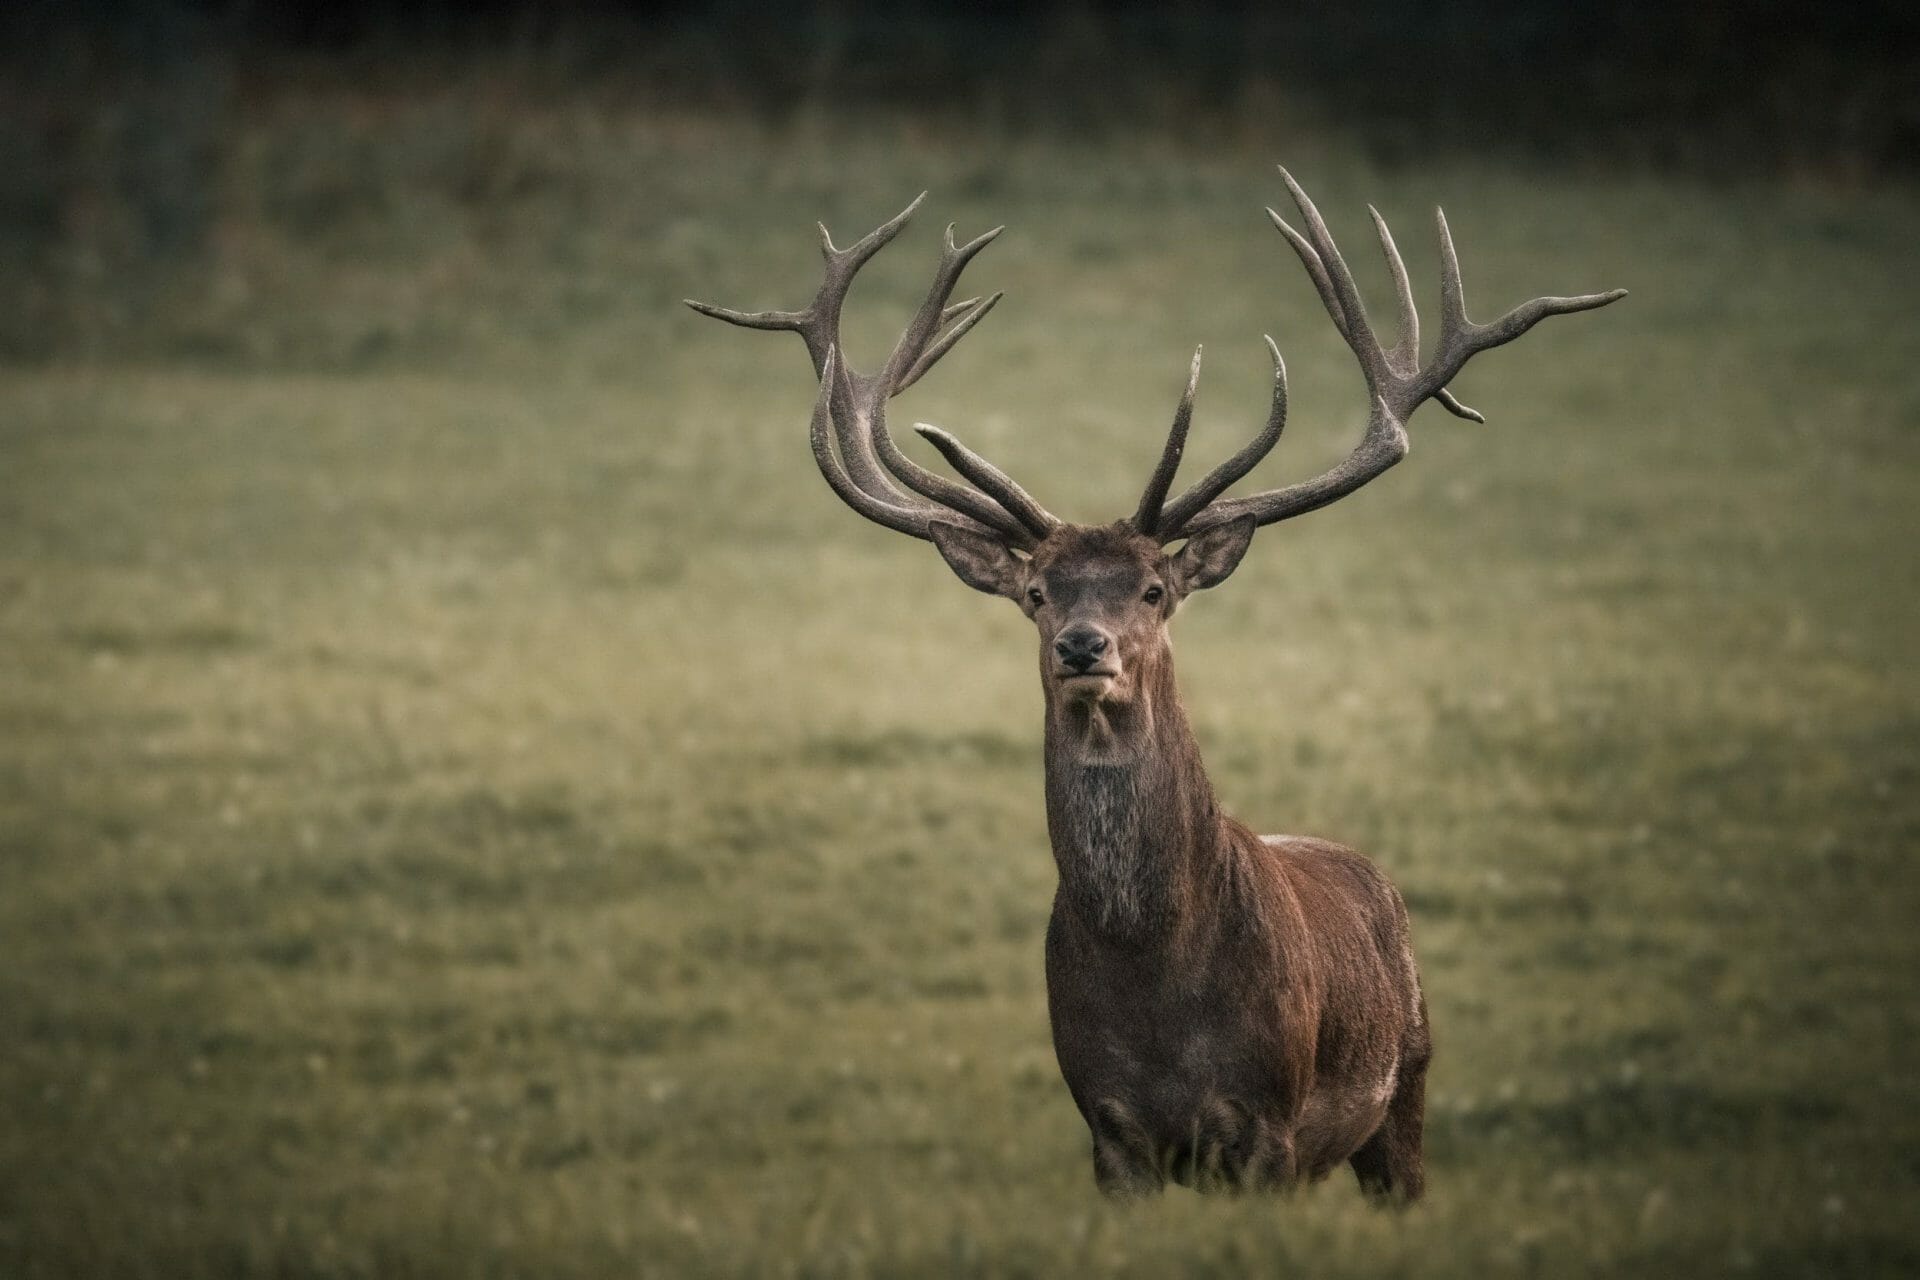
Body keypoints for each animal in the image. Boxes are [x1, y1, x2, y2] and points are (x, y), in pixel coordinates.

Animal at [687, 169, 1620, 1205]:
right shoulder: (1109, 1128)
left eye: (1153, 588)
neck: (1157, 988)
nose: (1082, 647)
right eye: (1037, 593)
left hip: (1405, 1086)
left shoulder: (1266, 1126)